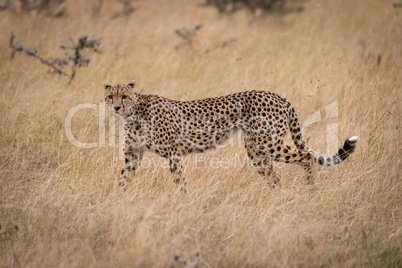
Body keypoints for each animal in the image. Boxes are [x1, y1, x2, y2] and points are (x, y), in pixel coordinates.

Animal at [103, 80, 358, 189]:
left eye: (124, 96)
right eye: (109, 96)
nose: (115, 107)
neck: (134, 113)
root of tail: (278, 96)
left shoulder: (174, 154)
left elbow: (180, 183)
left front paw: (182, 201)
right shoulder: (133, 154)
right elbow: (123, 180)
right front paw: (118, 201)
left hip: (263, 144)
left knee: (306, 157)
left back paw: (310, 189)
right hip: (258, 151)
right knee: (275, 176)